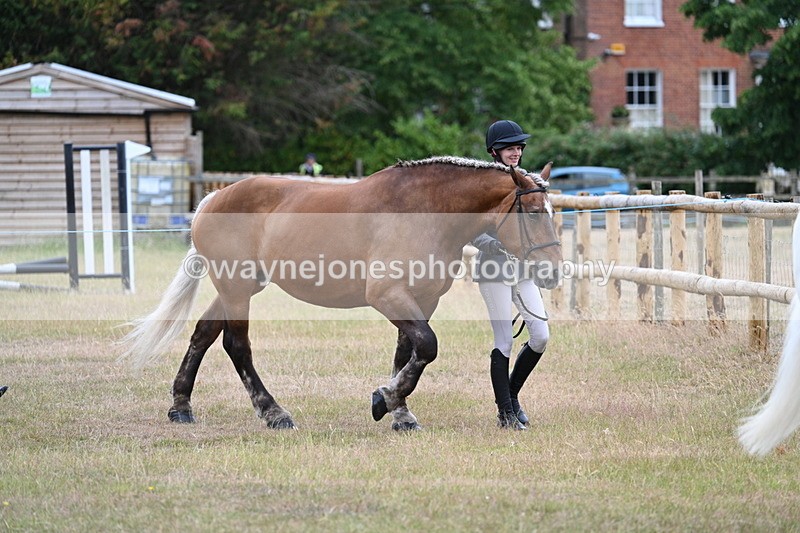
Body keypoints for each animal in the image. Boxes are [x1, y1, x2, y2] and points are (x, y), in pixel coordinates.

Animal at [121, 156, 562, 431]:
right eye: (534, 213)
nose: (553, 272)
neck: (426, 211)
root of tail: (213, 198)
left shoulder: (423, 299)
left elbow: (408, 352)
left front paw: (397, 411)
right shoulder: (388, 295)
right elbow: (427, 346)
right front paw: (387, 399)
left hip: (239, 287)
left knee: (204, 333)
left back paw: (181, 407)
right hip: (236, 286)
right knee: (236, 344)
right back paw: (274, 413)